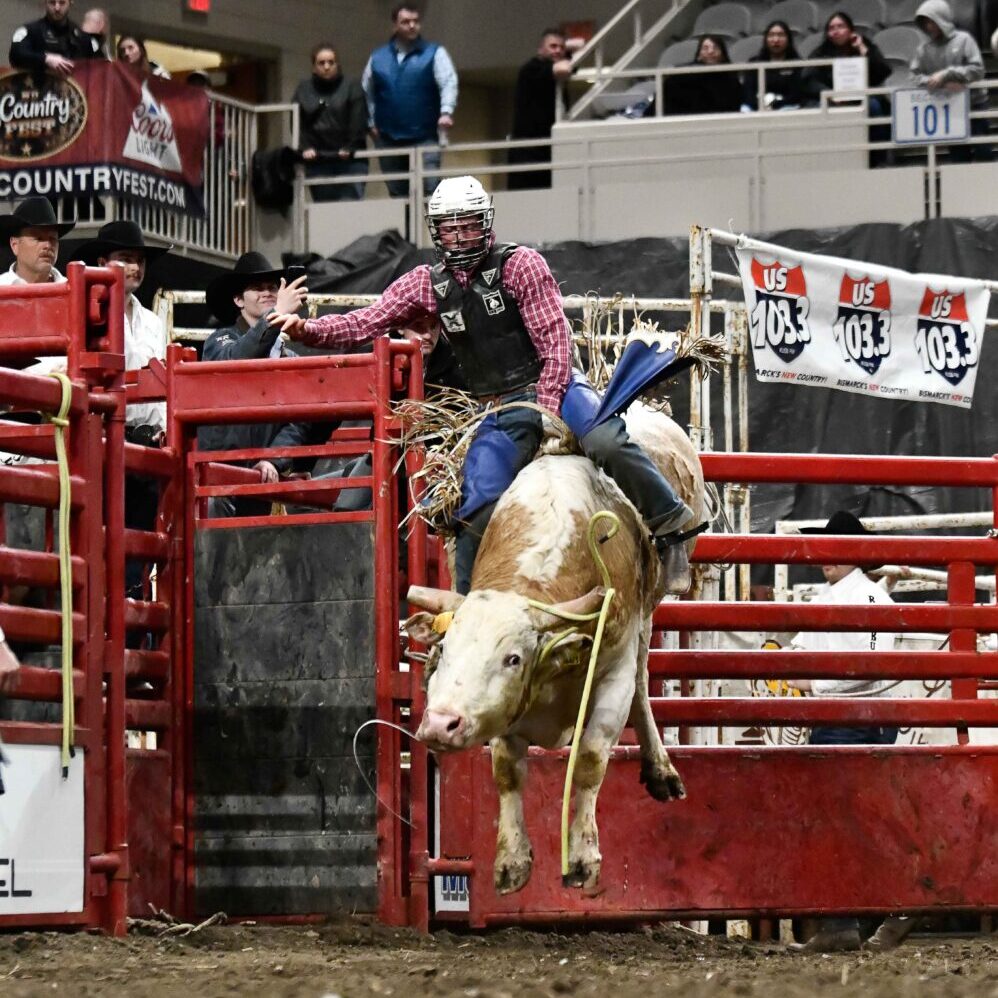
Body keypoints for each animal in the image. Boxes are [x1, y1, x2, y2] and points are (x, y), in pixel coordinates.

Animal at [406, 406, 704, 900]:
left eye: (513, 658)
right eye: (444, 649)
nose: (440, 724)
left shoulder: (613, 674)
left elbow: (589, 761)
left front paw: (583, 859)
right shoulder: (507, 713)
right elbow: (507, 770)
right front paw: (511, 861)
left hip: (651, 609)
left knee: (643, 681)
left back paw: (661, 769)